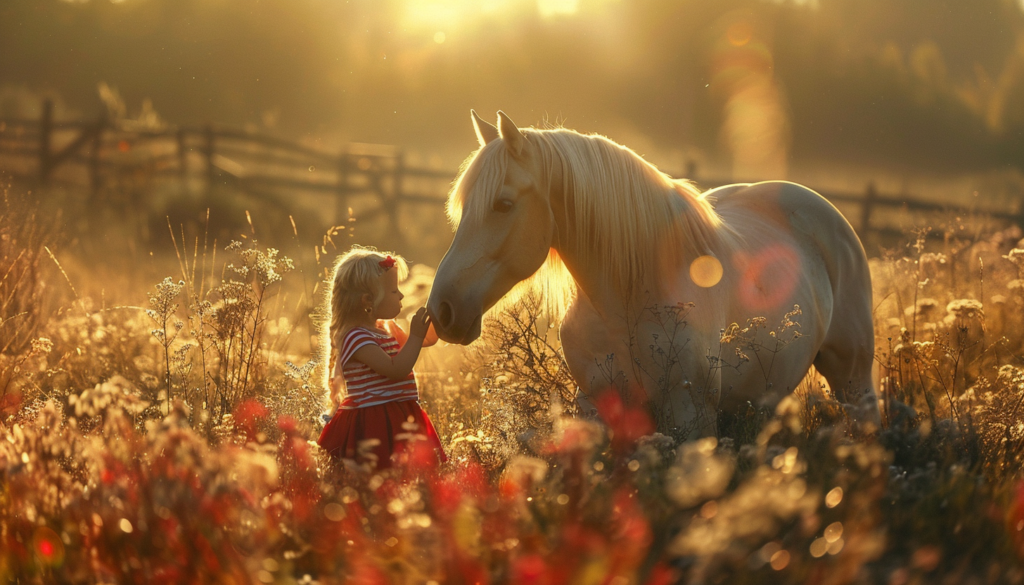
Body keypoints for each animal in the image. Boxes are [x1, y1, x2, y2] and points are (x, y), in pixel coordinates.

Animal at [423, 111, 880, 438]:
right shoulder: (597, 408)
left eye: (502, 204)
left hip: (853, 378)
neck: (629, 294)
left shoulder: (691, 417)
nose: (442, 309)